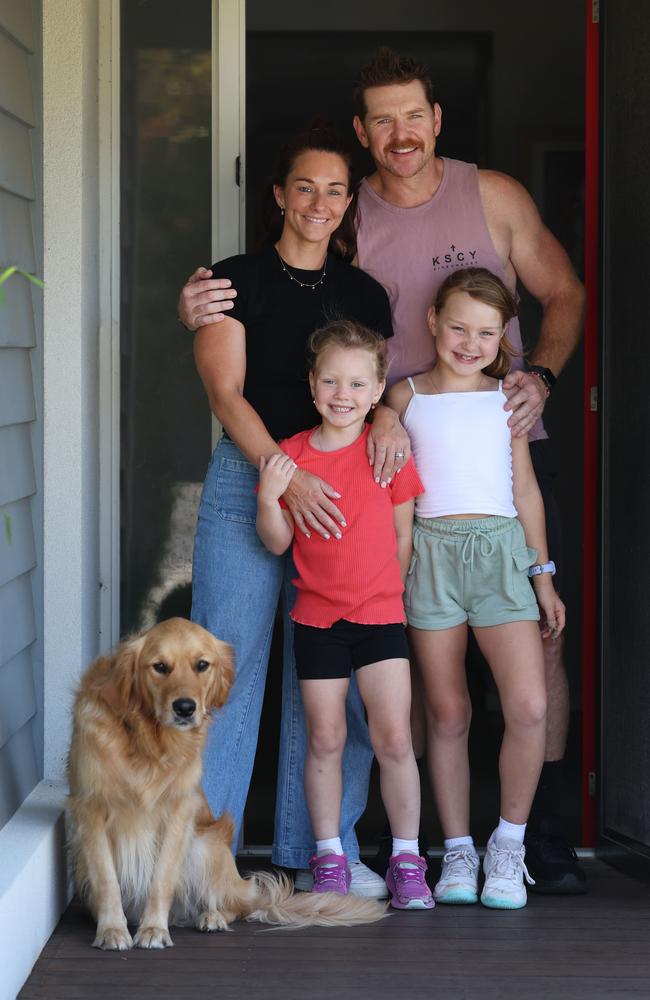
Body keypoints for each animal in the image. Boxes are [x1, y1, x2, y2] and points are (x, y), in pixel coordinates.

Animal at [67, 612, 384, 948]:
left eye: (201, 665)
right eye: (160, 667)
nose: (185, 708)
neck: (147, 740)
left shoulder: (179, 811)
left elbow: (162, 877)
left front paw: (153, 929)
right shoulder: (91, 809)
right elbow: (106, 880)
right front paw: (112, 930)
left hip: (206, 845)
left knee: (236, 907)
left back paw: (212, 916)